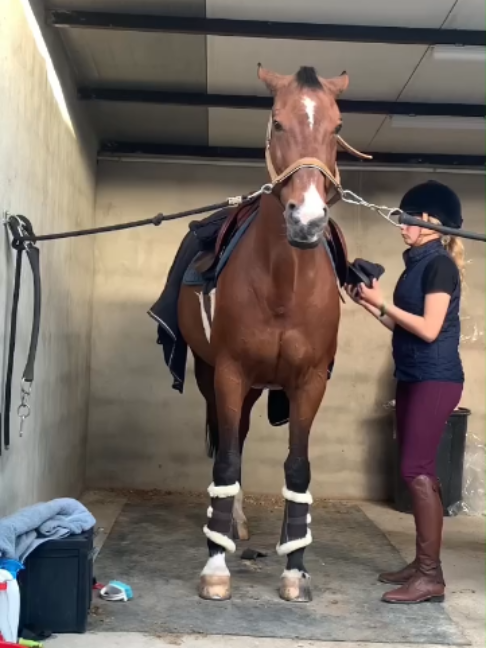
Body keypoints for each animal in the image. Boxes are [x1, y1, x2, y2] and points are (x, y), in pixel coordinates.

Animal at [176, 64, 365, 603]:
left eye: (337, 128)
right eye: (278, 122)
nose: (307, 219)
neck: (284, 283)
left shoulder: (309, 382)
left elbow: (298, 468)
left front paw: (295, 568)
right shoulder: (230, 373)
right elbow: (226, 461)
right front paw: (215, 566)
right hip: (215, 376)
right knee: (231, 439)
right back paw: (230, 527)